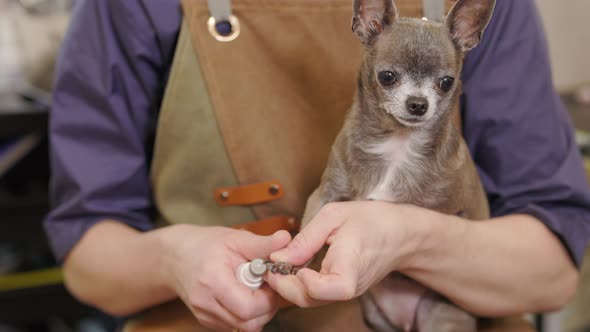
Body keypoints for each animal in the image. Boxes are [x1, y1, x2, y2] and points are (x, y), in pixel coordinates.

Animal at [302, 0, 498, 330]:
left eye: (446, 83)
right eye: (387, 76)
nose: (418, 104)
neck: (398, 145)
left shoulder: (454, 212)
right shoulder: (325, 195)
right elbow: (309, 225)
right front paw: (286, 260)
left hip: (443, 316)